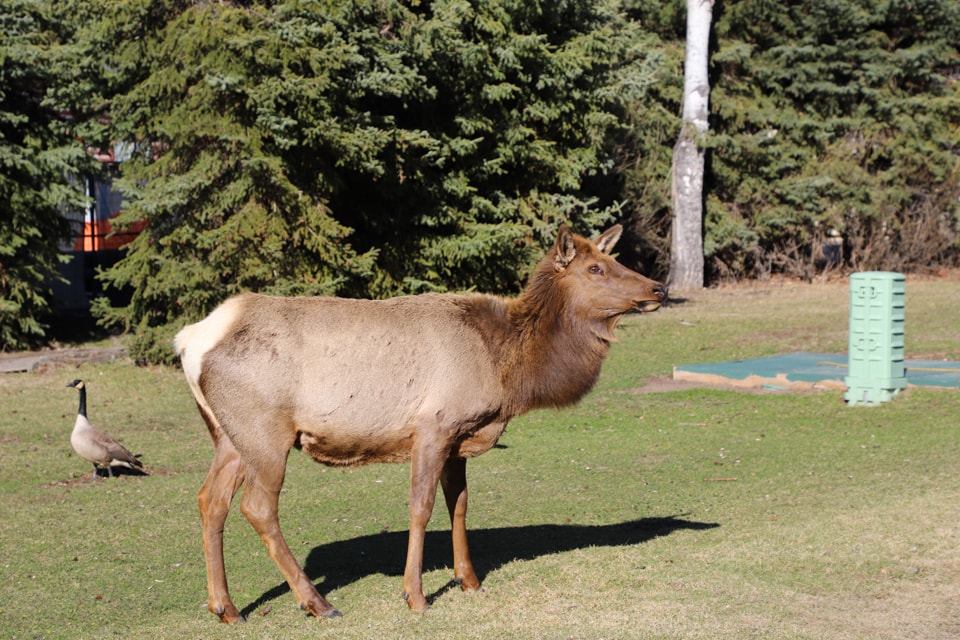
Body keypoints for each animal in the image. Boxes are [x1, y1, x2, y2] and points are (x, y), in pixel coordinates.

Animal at [174, 224, 668, 620]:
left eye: (614, 259)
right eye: (595, 269)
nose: (659, 288)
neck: (506, 370)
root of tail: (189, 340)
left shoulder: (460, 437)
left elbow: (460, 504)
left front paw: (470, 580)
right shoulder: (434, 426)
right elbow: (421, 507)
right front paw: (415, 596)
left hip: (228, 436)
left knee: (209, 499)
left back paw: (226, 607)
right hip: (265, 432)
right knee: (257, 507)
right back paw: (317, 603)